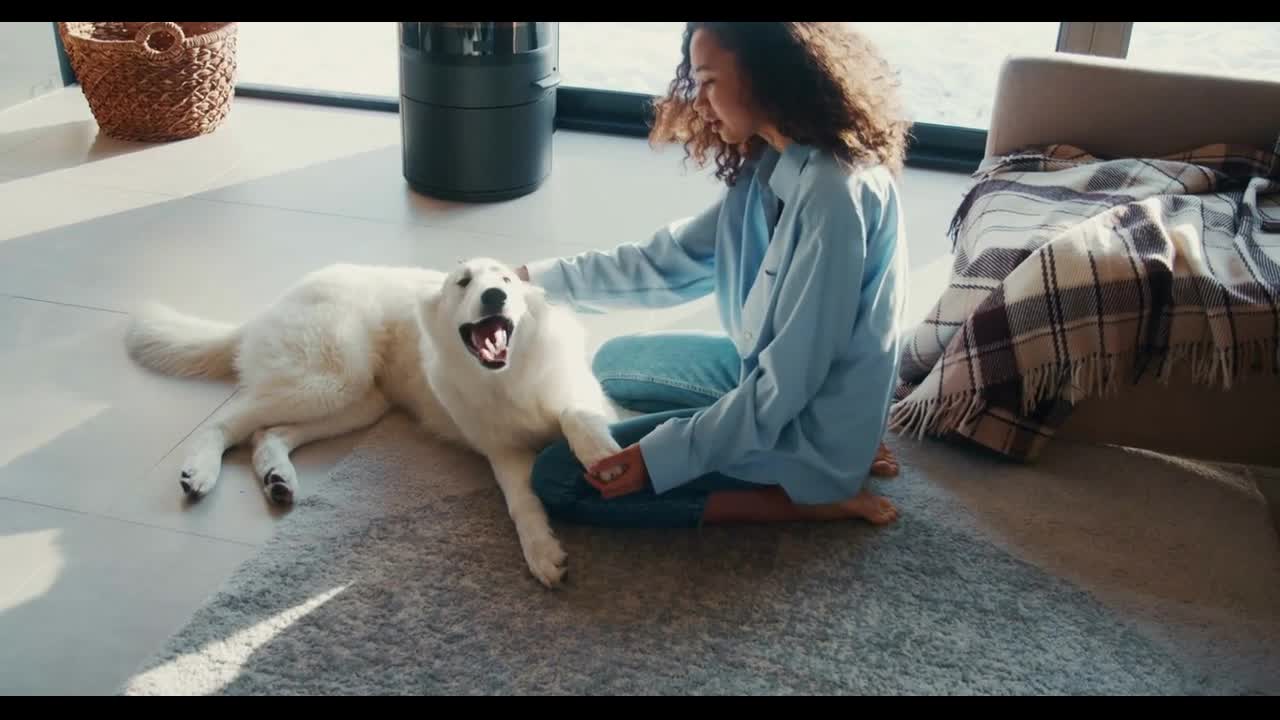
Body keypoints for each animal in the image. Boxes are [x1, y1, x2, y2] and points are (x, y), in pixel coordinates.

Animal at [122, 256, 622, 584]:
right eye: (463, 282)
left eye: (505, 281)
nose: (496, 295)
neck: (507, 375)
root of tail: (268, 309)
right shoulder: (503, 451)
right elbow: (521, 502)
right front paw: (542, 550)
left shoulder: (579, 399)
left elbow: (575, 416)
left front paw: (599, 454)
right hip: (332, 379)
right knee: (226, 421)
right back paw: (201, 471)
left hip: (357, 401)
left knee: (268, 433)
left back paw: (276, 478)